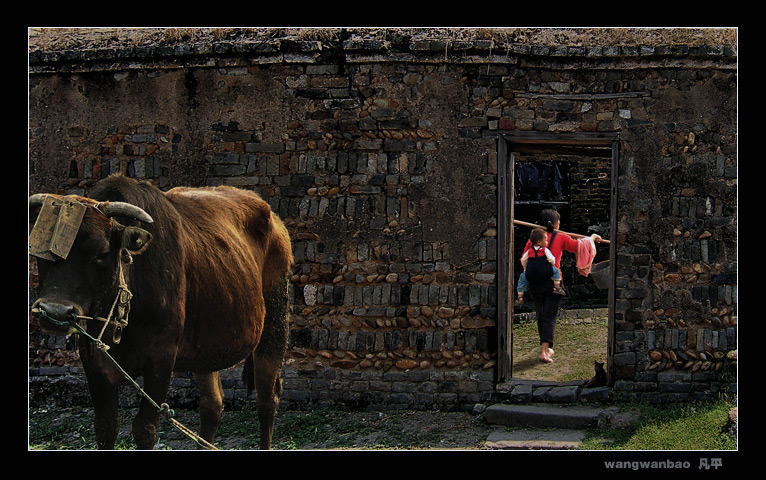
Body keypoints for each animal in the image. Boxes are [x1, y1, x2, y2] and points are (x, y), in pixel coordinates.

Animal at [29, 176, 292, 450]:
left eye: (101, 253)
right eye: (38, 248)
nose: (55, 311)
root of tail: (273, 218)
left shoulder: (161, 359)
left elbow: (145, 429)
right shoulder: (93, 362)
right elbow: (105, 427)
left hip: (274, 323)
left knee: (267, 400)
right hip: (207, 346)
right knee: (213, 404)